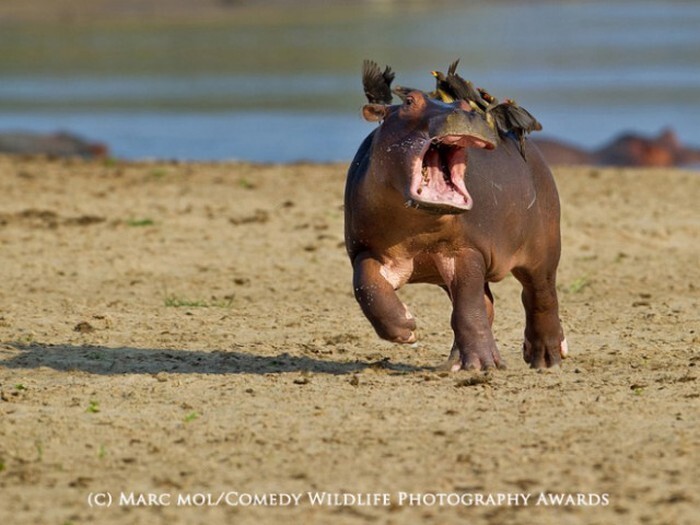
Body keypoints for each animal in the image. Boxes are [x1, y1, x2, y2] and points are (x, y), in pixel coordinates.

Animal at [346, 63, 568, 370]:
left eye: (464, 105)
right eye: (408, 101)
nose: (465, 113)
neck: (417, 227)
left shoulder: (467, 250)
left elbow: (468, 307)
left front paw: (484, 365)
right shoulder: (366, 249)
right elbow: (366, 285)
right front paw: (406, 328)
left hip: (544, 249)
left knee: (540, 296)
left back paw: (546, 359)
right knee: (488, 304)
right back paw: (453, 363)